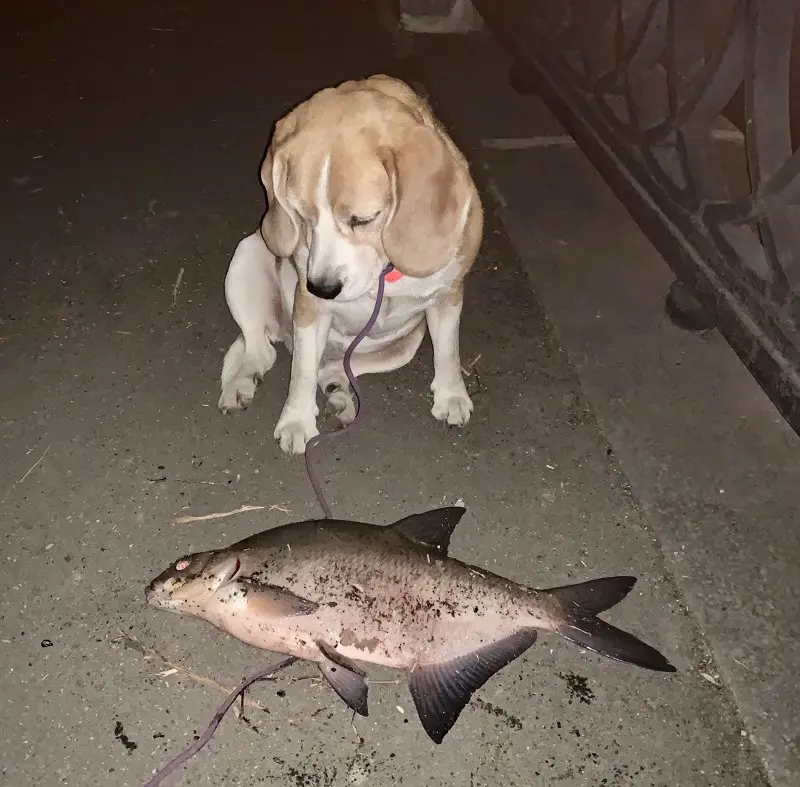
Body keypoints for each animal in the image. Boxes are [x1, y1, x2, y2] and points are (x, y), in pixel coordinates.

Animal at [217, 75, 482, 456]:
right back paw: (242, 381)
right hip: (247, 256)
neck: (387, 271)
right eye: (302, 216)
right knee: (261, 350)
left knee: (335, 366)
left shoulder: (448, 296)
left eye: (362, 219)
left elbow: (448, 352)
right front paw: (296, 421)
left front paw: (451, 395)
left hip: (407, 343)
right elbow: (301, 374)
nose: (323, 288)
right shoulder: (309, 310)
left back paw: (339, 389)